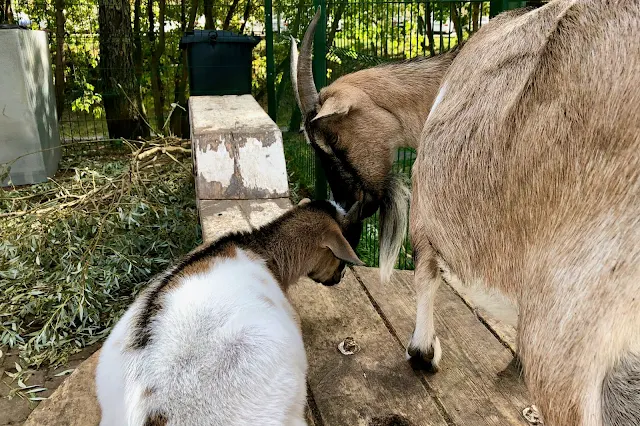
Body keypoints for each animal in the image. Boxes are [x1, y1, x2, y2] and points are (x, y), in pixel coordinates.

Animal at [292, 1, 636, 424]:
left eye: (331, 141)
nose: (351, 208)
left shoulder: (424, 220)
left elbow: (426, 277)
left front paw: (424, 355)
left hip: (567, 337)